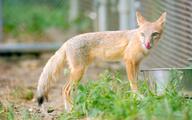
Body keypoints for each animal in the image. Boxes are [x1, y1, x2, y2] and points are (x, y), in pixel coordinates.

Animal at [36, 11, 166, 111]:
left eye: (154, 34)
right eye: (143, 34)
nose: (148, 44)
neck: (138, 41)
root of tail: (67, 41)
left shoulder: (137, 63)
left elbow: (136, 81)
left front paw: (137, 97)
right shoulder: (128, 61)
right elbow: (133, 82)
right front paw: (137, 97)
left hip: (80, 70)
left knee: (64, 89)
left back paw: (69, 110)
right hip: (79, 72)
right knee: (65, 89)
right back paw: (72, 109)